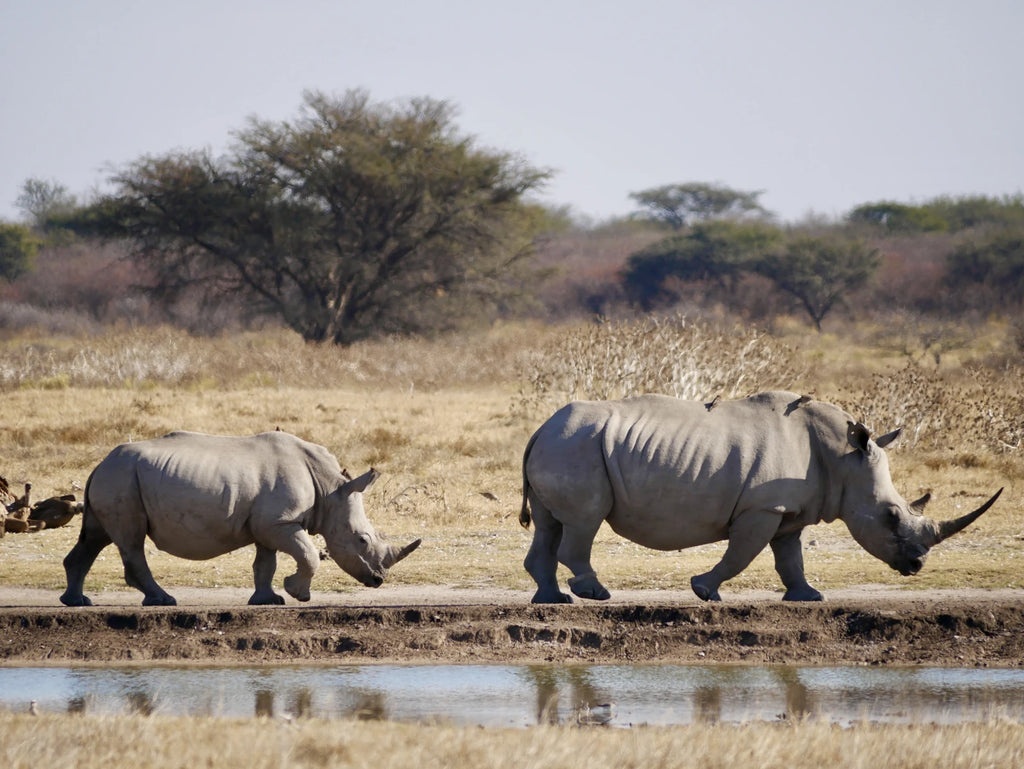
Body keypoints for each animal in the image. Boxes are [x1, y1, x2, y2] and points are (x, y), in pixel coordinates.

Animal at [60, 431, 421, 607]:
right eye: (362, 539)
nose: (379, 580)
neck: (330, 490)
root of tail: (99, 464)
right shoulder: (280, 522)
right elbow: (307, 554)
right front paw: (298, 595)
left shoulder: (267, 525)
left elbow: (265, 564)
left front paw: (269, 601)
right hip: (122, 480)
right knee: (131, 541)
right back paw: (162, 601)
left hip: (116, 479)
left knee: (96, 537)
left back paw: (78, 602)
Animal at [520, 392, 1002, 603]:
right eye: (890, 517)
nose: (917, 566)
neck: (842, 459)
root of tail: (540, 428)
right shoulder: (761, 507)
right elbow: (741, 555)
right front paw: (704, 591)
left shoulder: (789, 510)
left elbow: (790, 557)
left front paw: (809, 597)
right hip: (575, 447)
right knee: (584, 521)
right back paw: (595, 594)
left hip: (564, 444)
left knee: (549, 524)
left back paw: (553, 600)